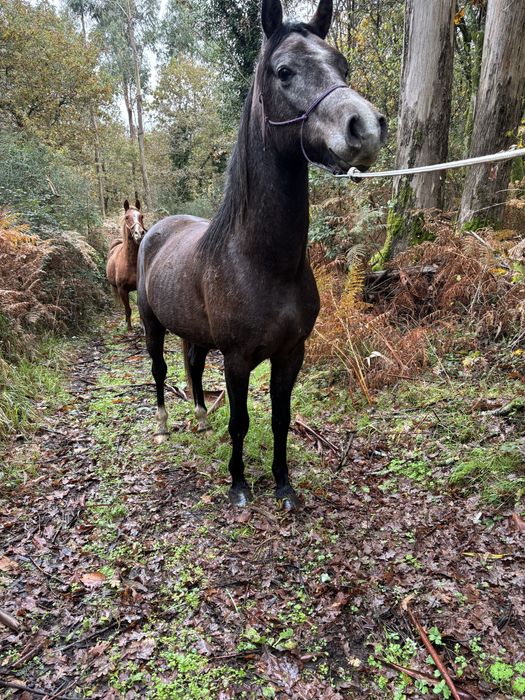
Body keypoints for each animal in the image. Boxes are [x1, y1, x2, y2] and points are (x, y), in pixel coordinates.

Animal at [106, 199, 146, 331]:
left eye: (141, 216)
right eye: (126, 217)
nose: (139, 234)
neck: (131, 262)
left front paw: (142, 326)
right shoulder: (122, 290)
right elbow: (128, 309)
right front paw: (128, 327)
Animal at [137, 0, 386, 510]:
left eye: (343, 66)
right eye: (283, 71)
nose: (366, 128)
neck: (262, 263)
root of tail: (155, 230)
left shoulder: (291, 354)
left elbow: (279, 419)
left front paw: (283, 484)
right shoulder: (236, 359)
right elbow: (241, 422)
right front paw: (238, 485)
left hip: (194, 335)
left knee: (192, 365)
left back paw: (199, 418)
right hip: (152, 326)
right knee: (159, 370)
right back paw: (165, 425)